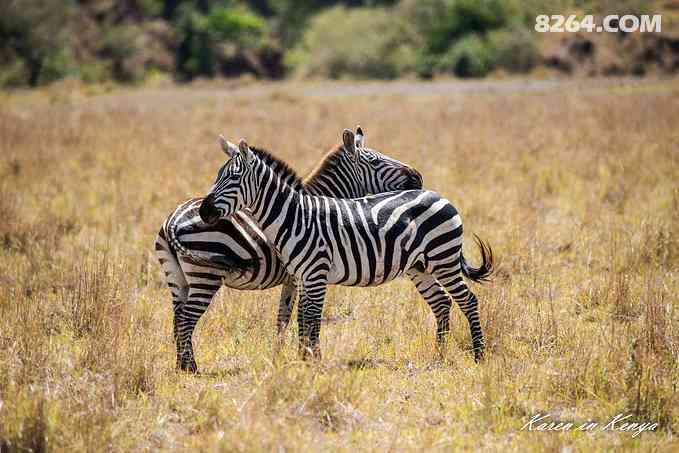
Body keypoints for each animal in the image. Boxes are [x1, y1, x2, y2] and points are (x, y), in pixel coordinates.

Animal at [157, 127, 428, 370]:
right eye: (375, 160)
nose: (418, 177)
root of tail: (172, 221)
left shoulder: (294, 278)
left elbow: (284, 317)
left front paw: (283, 357)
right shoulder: (301, 276)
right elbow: (298, 317)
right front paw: (301, 356)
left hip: (178, 279)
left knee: (177, 319)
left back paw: (181, 365)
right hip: (205, 276)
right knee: (186, 320)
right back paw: (191, 368)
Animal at [201, 136, 494, 362]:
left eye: (233, 178)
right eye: (218, 176)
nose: (204, 211)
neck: (294, 217)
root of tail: (438, 194)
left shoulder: (315, 274)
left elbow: (311, 318)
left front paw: (313, 362)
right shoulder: (301, 277)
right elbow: (301, 319)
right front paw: (304, 361)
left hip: (443, 259)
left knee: (468, 300)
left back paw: (479, 355)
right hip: (420, 266)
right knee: (442, 302)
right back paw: (438, 356)